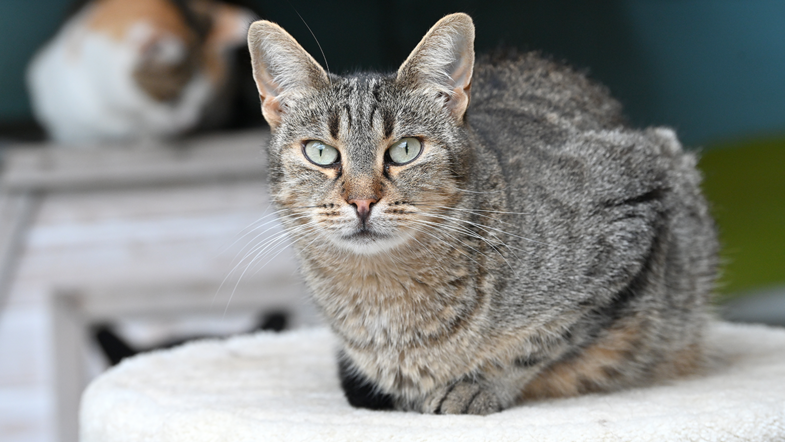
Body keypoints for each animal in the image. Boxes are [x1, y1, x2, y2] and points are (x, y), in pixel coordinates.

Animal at [243, 12, 716, 414]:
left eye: (405, 150)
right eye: (321, 153)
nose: (362, 202)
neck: (381, 297)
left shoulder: (639, 204)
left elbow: (543, 341)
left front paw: (477, 385)